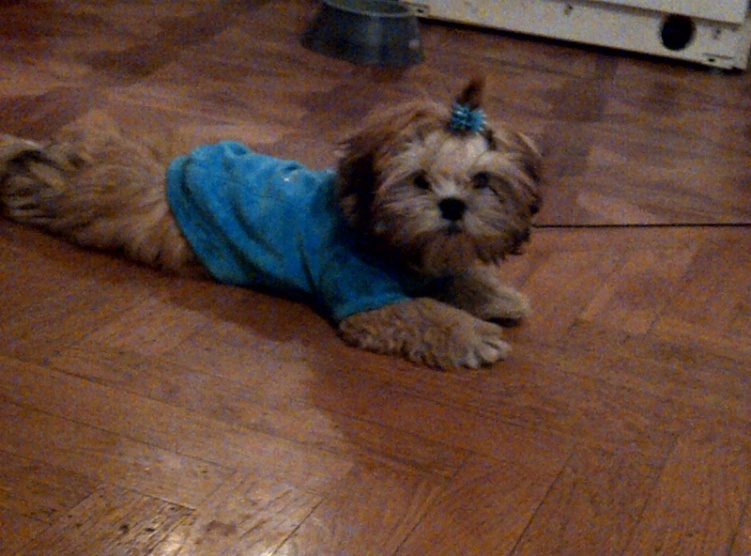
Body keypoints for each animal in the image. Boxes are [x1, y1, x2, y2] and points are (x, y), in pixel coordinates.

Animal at [0, 78, 541, 370]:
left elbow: (453, 277)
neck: (384, 233)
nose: (453, 206)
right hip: (74, 199)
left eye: (482, 180)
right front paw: (470, 334)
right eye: (420, 180)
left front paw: (492, 295)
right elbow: (421, 311)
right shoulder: (365, 298)